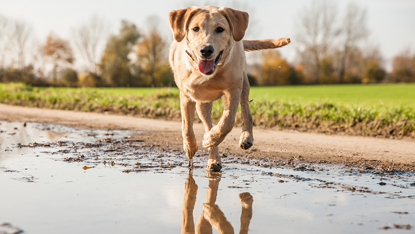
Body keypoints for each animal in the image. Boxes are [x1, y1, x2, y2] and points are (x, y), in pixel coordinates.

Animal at [168, 5, 290, 170]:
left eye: (220, 29)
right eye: (195, 28)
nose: (206, 50)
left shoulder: (233, 89)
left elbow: (228, 121)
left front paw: (210, 139)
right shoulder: (186, 94)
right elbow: (186, 126)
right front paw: (190, 147)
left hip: (243, 84)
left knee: (246, 112)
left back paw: (244, 138)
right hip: (202, 103)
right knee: (207, 124)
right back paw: (213, 158)